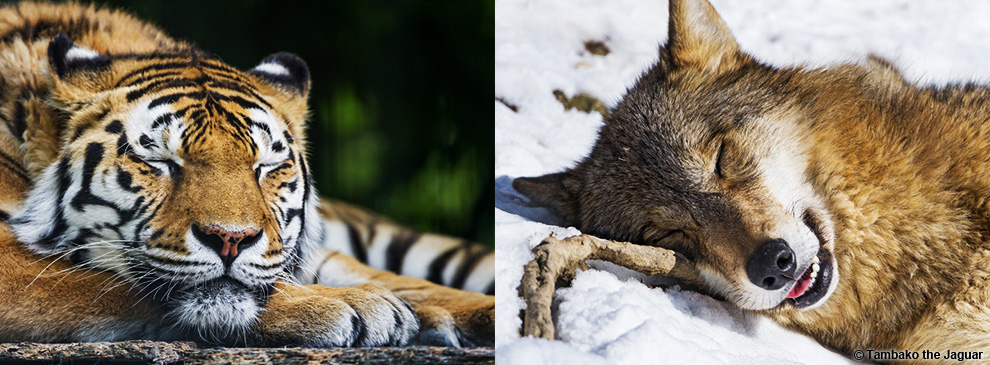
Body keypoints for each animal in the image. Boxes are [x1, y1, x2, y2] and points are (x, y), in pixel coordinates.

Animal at [0, 1, 496, 346]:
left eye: (265, 167)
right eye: (159, 161)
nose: (231, 240)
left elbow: (405, 283)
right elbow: (111, 282)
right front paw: (357, 305)